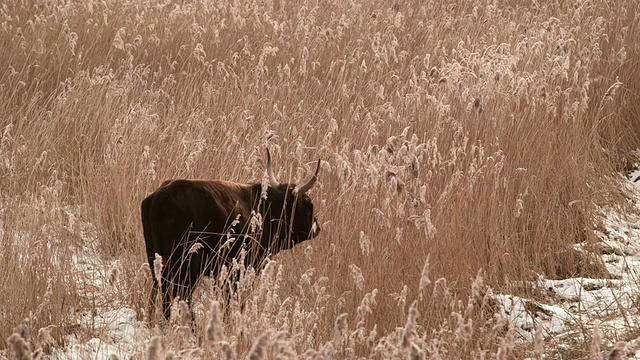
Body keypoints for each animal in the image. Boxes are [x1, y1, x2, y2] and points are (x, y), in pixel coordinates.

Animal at [140, 150, 320, 320]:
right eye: (309, 206)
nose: (316, 227)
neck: (266, 208)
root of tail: (160, 195)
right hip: (186, 266)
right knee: (181, 297)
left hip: (159, 263)